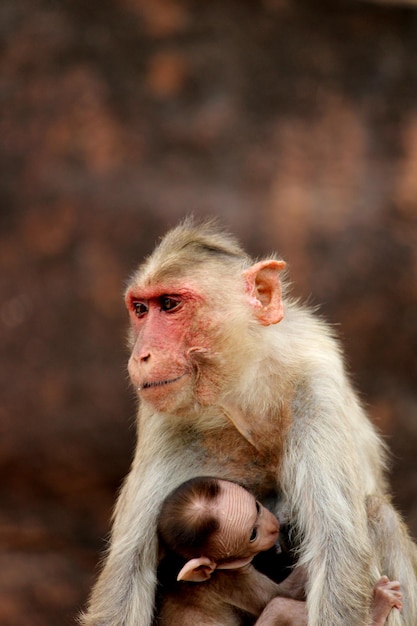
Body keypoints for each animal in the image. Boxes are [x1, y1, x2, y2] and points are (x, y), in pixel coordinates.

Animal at [156, 476, 400, 620]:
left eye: (257, 506)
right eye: (252, 534)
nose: (273, 527)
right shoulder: (233, 579)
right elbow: (283, 595)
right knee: (279, 605)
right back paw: (377, 611)